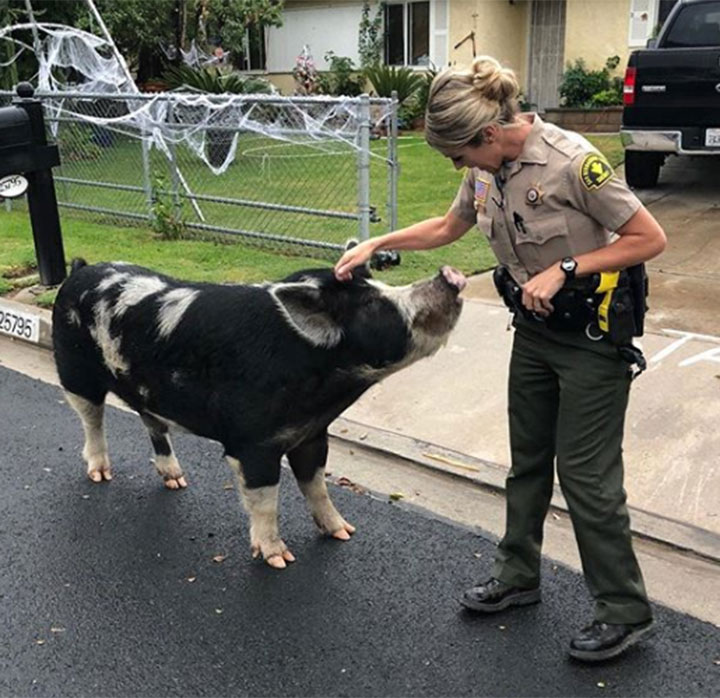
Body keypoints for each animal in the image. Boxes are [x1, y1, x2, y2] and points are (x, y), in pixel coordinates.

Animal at [52, 258, 466, 568]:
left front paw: (345, 532)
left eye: (381, 285)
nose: (450, 275)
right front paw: (279, 559)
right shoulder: (251, 443)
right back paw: (100, 475)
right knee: (92, 420)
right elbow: (266, 499)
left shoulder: (312, 434)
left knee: (151, 421)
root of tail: (79, 271)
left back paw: (177, 481)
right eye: (372, 305)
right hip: (74, 372)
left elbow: (317, 484)